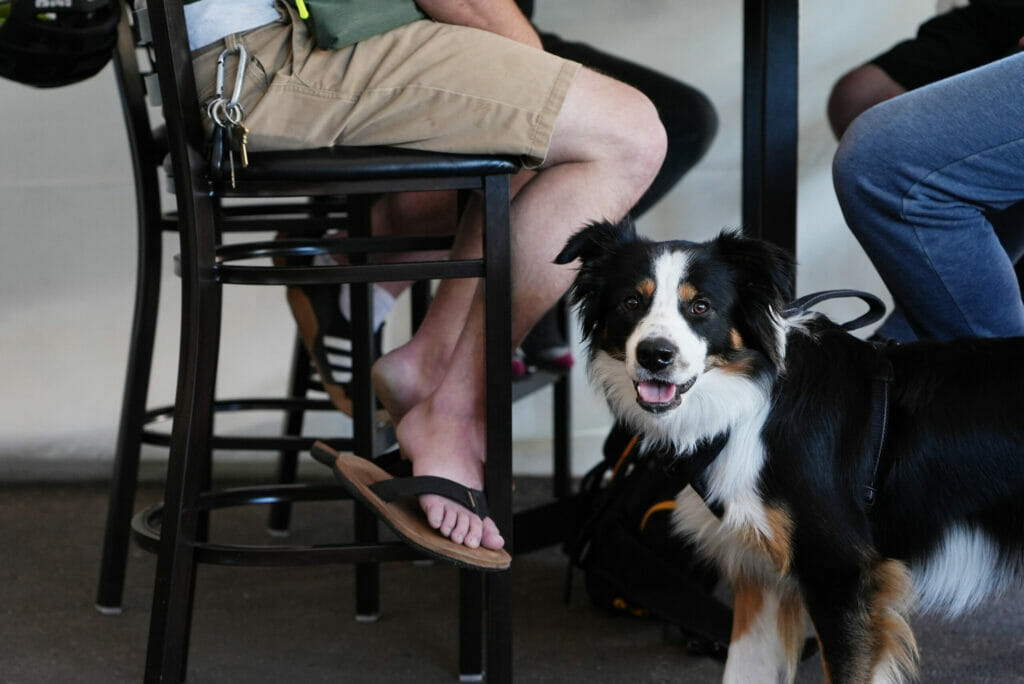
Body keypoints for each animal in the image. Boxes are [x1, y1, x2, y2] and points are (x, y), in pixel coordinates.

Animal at [557, 218, 1024, 684]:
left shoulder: (840, 573)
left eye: (701, 307)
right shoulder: (761, 574)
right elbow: (743, 671)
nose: (655, 355)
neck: (749, 406)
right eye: (631, 301)